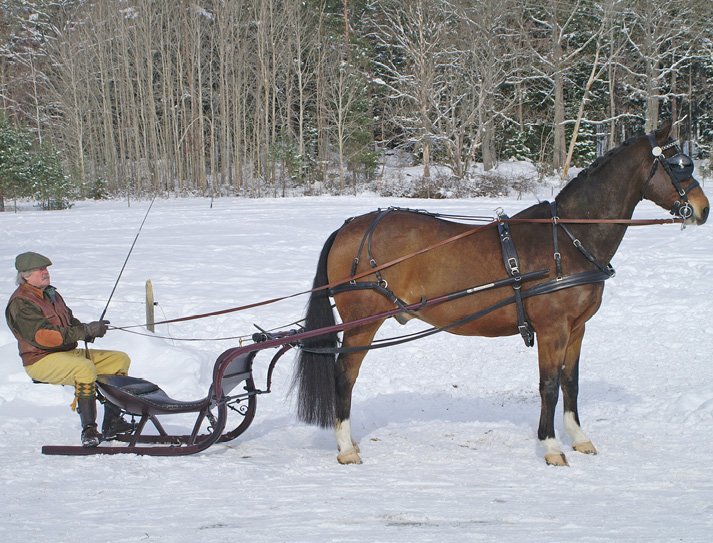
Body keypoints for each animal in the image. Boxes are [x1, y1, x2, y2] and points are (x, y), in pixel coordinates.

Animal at [292, 121, 710, 466]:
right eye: (679, 165)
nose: (703, 210)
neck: (570, 236)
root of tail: (350, 227)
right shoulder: (552, 328)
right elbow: (549, 386)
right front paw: (551, 447)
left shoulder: (576, 329)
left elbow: (571, 383)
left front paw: (578, 437)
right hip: (362, 322)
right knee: (345, 374)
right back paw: (345, 447)